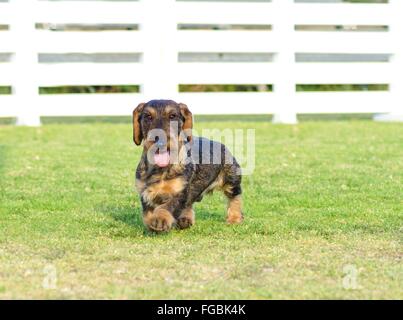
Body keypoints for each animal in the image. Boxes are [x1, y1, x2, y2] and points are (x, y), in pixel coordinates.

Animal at [134, 100, 245, 232]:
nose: (160, 141)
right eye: (148, 116)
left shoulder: (181, 192)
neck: (161, 169)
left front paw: (160, 219)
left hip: (231, 180)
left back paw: (234, 218)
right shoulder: (145, 193)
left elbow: (167, 207)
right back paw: (185, 219)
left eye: (172, 116)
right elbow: (147, 213)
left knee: (235, 198)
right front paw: (152, 222)